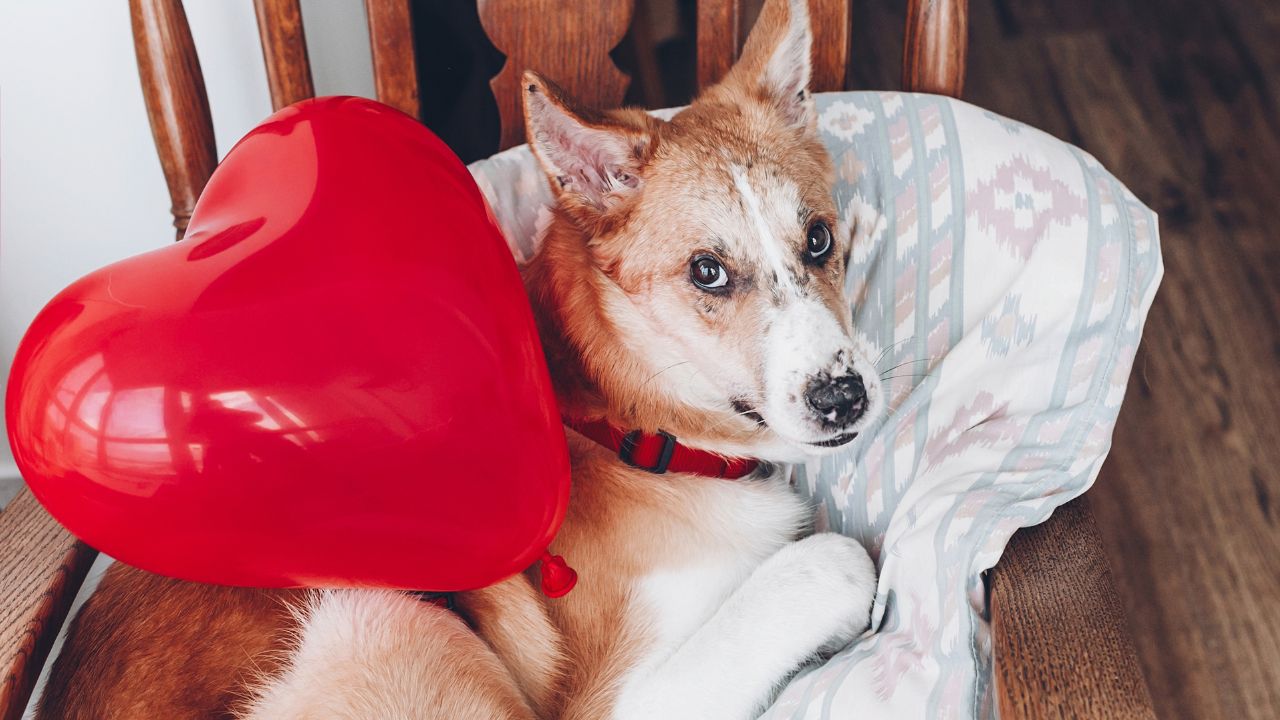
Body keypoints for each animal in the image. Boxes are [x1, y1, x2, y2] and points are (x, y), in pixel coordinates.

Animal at [40, 0, 885, 712]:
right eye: (706, 272)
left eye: (817, 239)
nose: (845, 398)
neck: (629, 426)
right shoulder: (618, 699)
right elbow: (831, 561)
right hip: (377, 613)